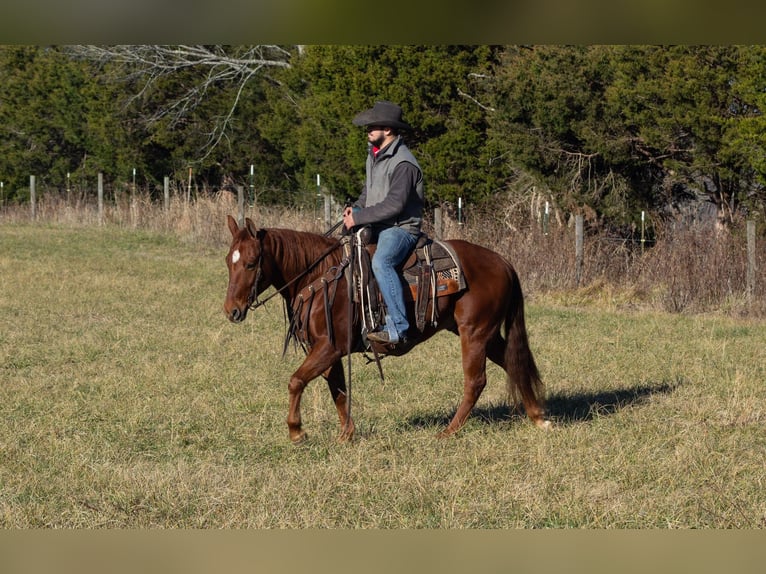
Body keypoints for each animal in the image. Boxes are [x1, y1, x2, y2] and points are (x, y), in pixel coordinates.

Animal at [224, 216, 552, 446]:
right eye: (229, 261)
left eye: (251, 263)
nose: (231, 311)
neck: (320, 277)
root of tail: (504, 262)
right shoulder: (329, 349)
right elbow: (338, 390)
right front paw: (346, 434)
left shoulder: (329, 347)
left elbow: (296, 381)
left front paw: (296, 432)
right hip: (485, 334)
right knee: (512, 362)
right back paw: (538, 417)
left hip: (474, 333)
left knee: (476, 381)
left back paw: (448, 432)